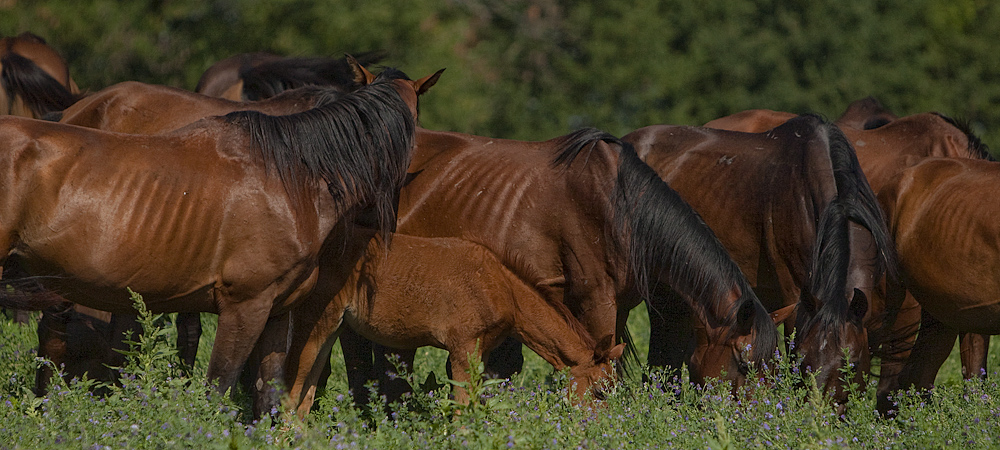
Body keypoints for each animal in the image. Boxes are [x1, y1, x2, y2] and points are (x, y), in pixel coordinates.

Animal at [0, 61, 434, 416]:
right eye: (414, 129)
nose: (386, 217)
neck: (291, 176)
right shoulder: (244, 307)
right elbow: (219, 387)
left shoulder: (278, 311)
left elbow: (267, 393)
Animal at [284, 230, 624, 416]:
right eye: (599, 392)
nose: (599, 427)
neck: (503, 287)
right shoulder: (463, 347)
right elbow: (462, 409)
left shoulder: (480, 352)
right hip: (318, 323)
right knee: (293, 389)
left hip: (332, 329)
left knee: (307, 392)